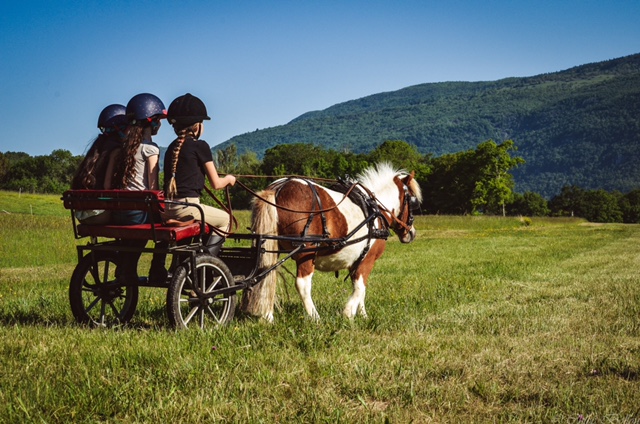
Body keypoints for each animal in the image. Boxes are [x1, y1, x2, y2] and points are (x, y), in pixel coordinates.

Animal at [239, 162, 420, 322]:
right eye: (413, 201)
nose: (411, 233)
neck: (375, 210)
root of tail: (278, 188)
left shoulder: (357, 262)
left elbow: (360, 289)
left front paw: (362, 314)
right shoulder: (367, 259)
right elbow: (360, 288)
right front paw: (349, 313)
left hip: (270, 249)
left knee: (266, 278)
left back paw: (267, 318)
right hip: (306, 252)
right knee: (302, 284)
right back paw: (315, 318)